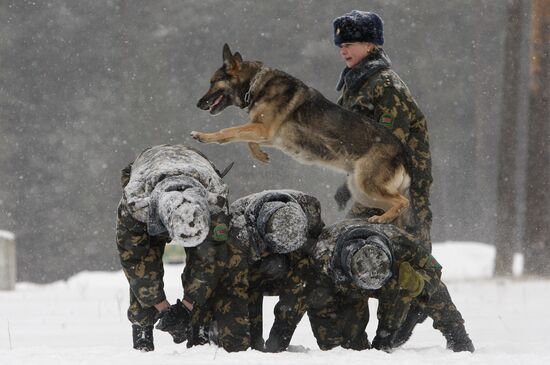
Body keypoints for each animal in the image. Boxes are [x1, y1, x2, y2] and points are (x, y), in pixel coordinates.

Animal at [194, 43, 414, 223]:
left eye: (213, 82)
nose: (198, 104)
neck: (254, 84)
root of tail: (402, 152)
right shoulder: (269, 135)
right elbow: (246, 139)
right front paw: (260, 155)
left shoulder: (263, 129)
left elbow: (229, 131)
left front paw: (203, 136)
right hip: (363, 192)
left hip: (368, 185)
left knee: (403, 202)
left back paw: (383, 219)